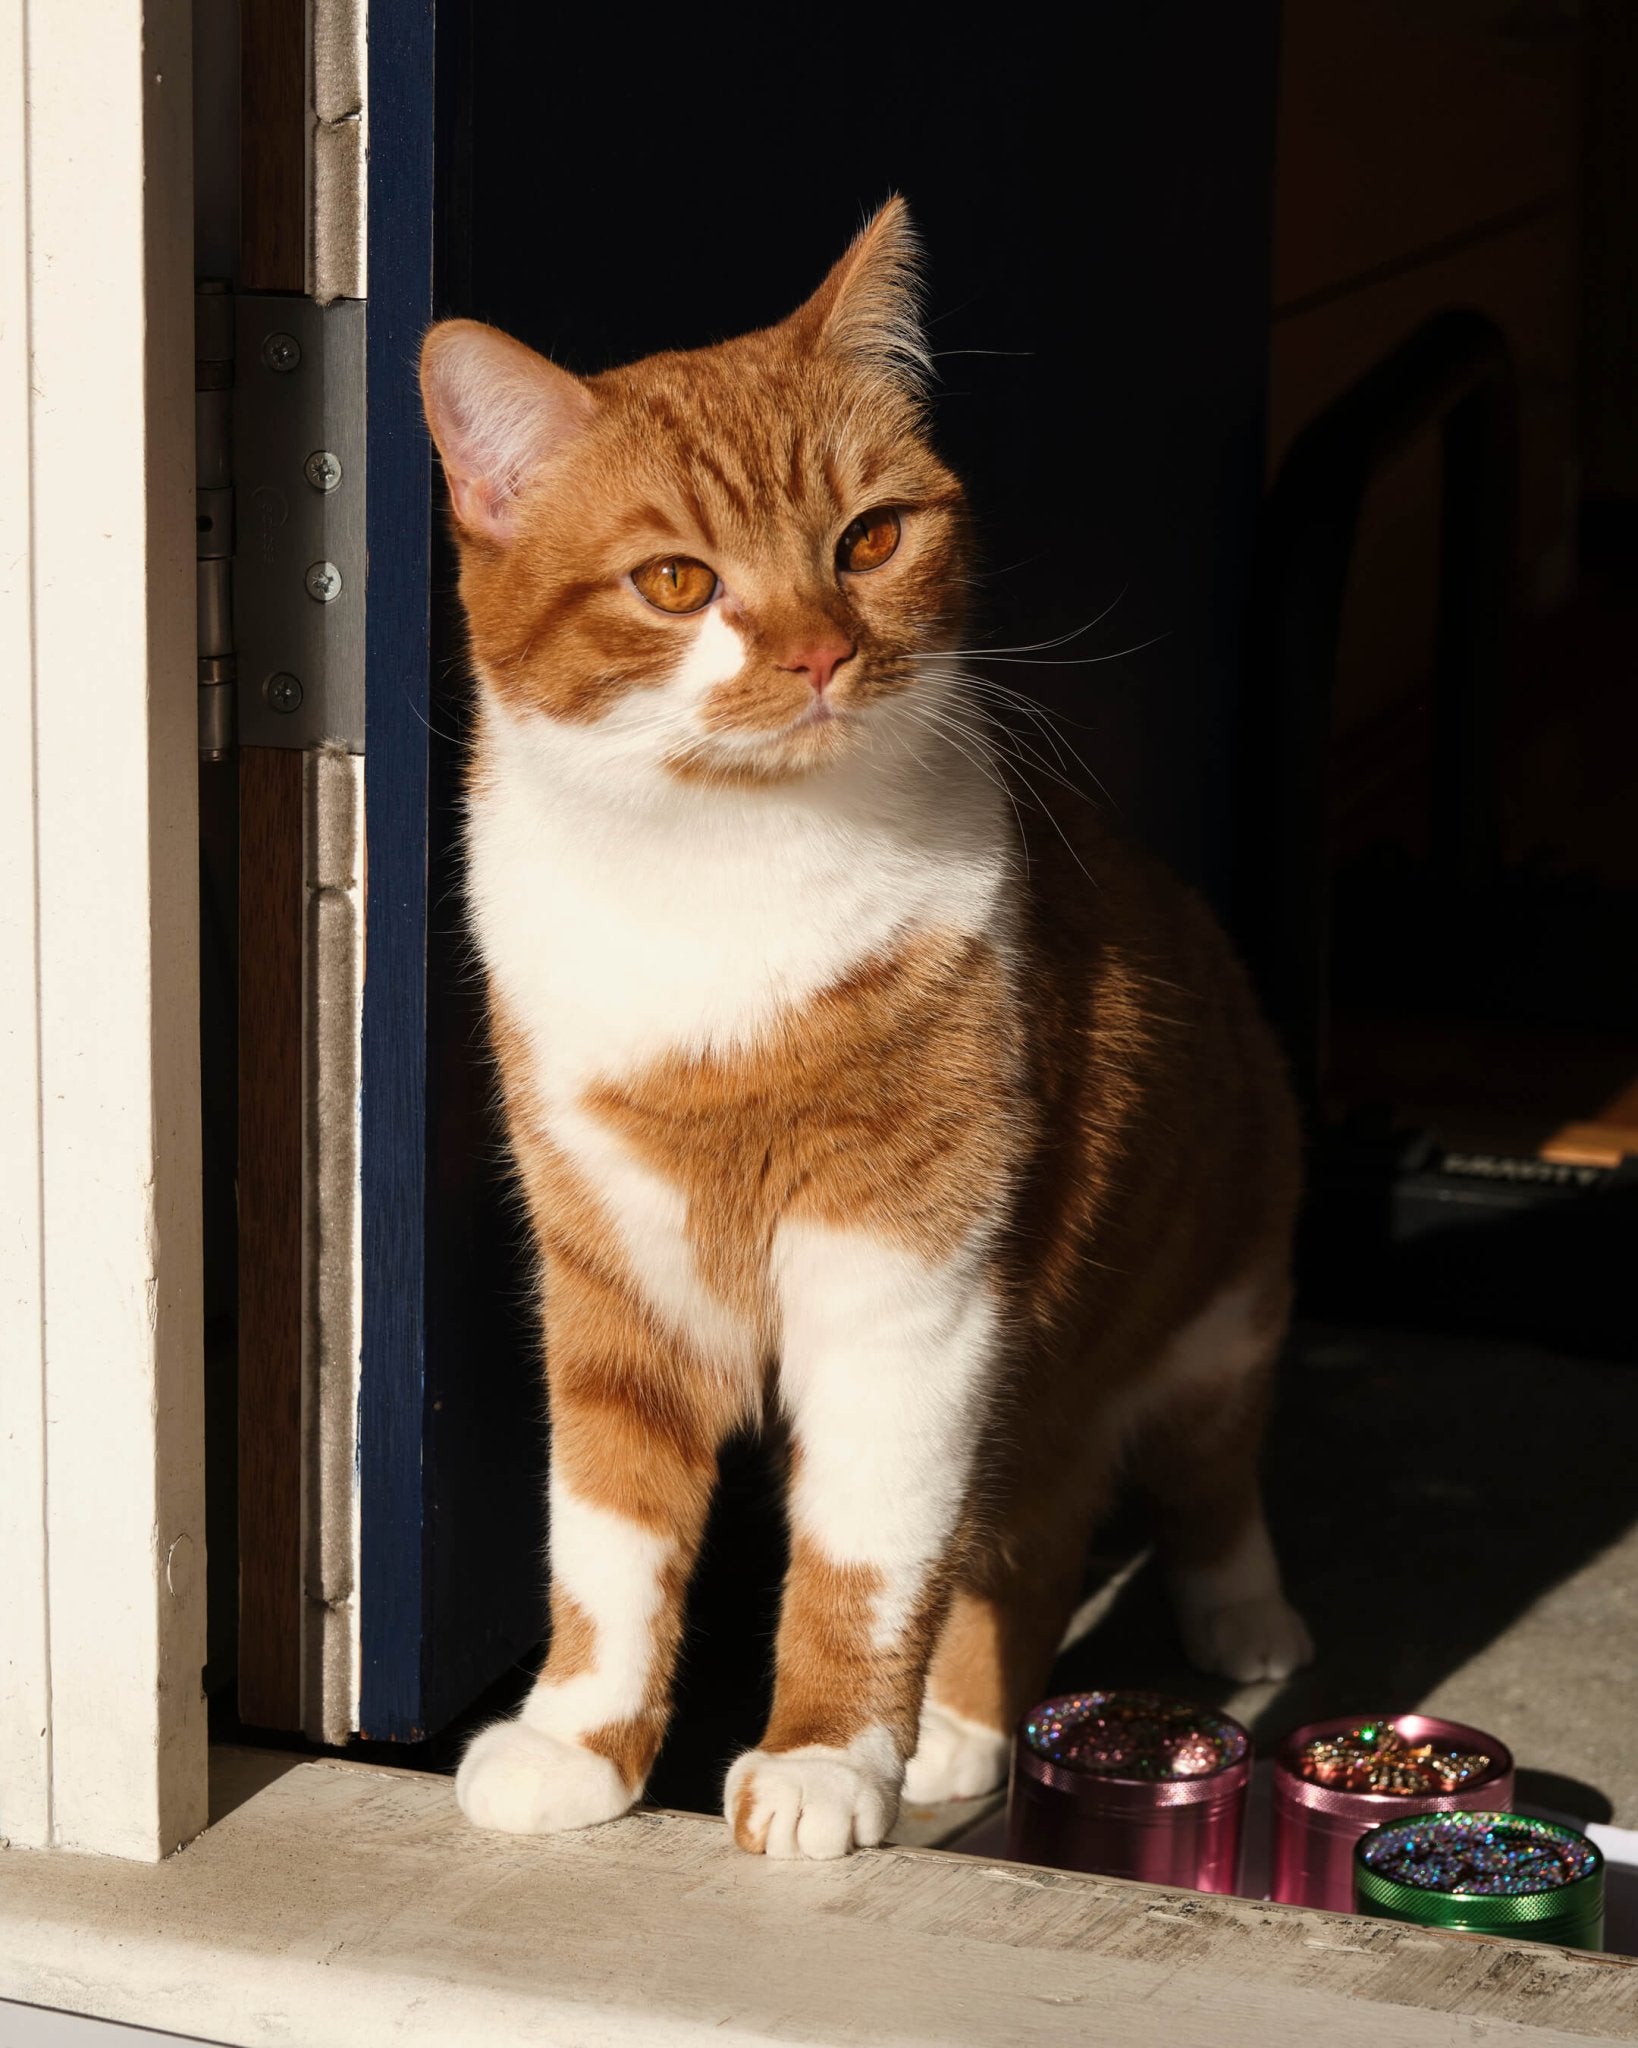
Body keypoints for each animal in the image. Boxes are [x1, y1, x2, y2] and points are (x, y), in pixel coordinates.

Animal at [419, 199, 1302, 1867]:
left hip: (1212, 1294)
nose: (819, 649)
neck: (720, 887)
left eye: (870, 541)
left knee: (1192, 1471)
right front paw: (577, 1742)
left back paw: (1221, 1625)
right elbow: (607, 1536)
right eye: (675, 581)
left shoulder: (908, 1290)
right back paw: (963, 1728)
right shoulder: (610, 1282)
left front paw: (828, 1758)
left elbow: (862, 1554)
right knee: (1038, 1521)